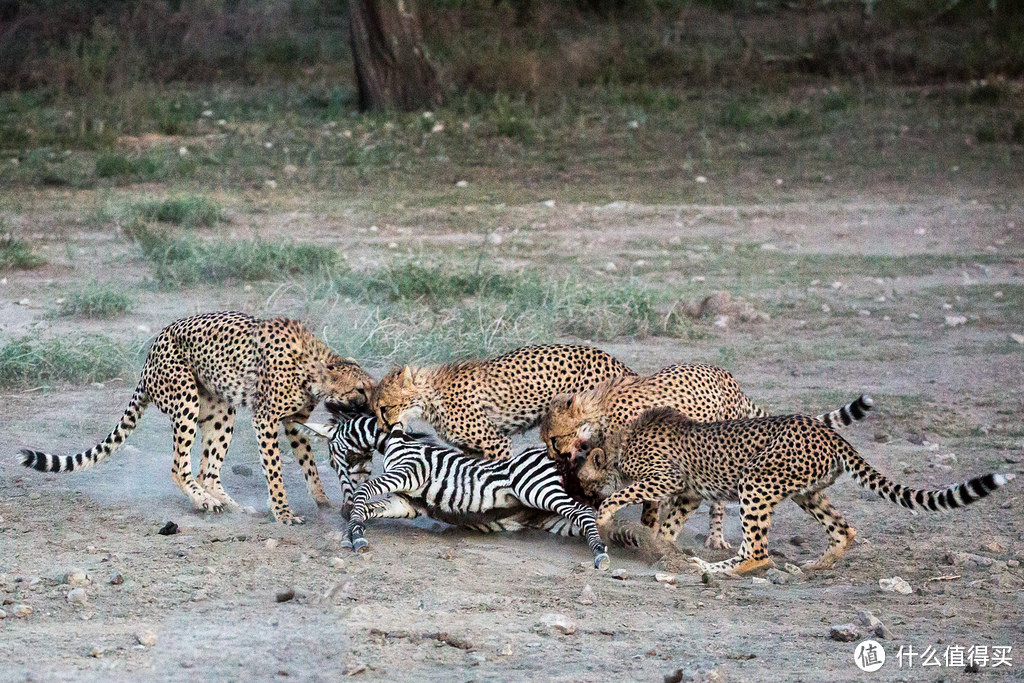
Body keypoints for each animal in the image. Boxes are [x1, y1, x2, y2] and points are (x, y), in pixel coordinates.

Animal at [19, 313, 374, 528]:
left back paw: (227, 503)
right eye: (361, 389)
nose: (374, 409)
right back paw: (204, 501)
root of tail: (150, 352)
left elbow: (308, 462)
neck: (313, 369)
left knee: (208, 471)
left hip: (221, 411)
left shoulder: (292, 421)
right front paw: (284, 513)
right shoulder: (266, 420)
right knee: (180, 467)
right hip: (186, 398)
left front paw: (322, 499)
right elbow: (275, 471)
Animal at [299, 413, 614, 569]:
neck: (395, 442)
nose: (341, 509)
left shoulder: (410, 470)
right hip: (545, 515)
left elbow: (365, 490)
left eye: (332, 459)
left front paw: (355, 532)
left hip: (536, 487)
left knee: (584, 512)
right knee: (591, 519)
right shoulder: (405, 503)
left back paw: (599, 554)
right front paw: (352, 530)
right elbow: (370, 507)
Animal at [372, 344, 630, 462]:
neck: (431, 396)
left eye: (384, 408)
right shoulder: (473, 449)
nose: (382, 429)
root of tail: (614, 361)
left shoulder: (496, 442)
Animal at [540, 362, 868, 548]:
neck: (598, 412)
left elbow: (648, 500)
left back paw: (716, 538)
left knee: (720, 501)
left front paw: (647, 527)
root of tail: (726, 375)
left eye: (554, 439)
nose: (555, 458)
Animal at [577, 405, 1015, 577]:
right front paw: (661, 549)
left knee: (758, 552)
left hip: (756, 482)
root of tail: (825, 429)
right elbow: (668, 526)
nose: (583, 495)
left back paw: (715, 569)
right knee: (843, 529)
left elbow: (624, 495)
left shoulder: (665, 479)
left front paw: (606, 515)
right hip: (807, 491)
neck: (619, 442)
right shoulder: (689, 492)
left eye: (581, 480)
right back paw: (817, 565)